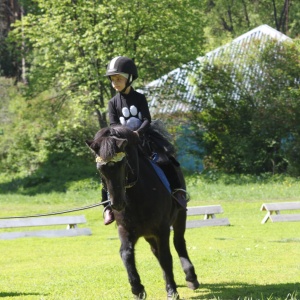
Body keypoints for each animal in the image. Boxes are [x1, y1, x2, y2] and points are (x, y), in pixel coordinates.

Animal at [86, 125, 199, 298]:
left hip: (180, 217)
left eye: (122, 163)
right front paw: (137, 289)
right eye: (100, 168)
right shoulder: (125, 229)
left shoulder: (162, 229)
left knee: (178, 243)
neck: (137, 197)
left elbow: (166, 257)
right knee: (155, 250)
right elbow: (126, 254)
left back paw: (191, 278)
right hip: (148, 233)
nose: (117, 203)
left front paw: (172, 291)